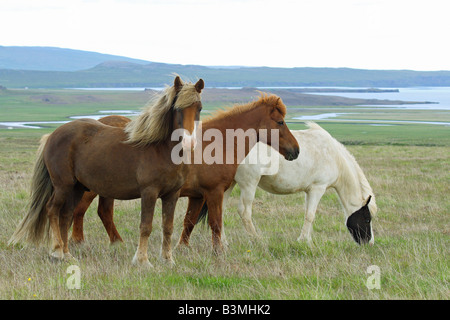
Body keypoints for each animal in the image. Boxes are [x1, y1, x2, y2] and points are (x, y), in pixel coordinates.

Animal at [7, 76, 205, 266]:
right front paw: (142, 261)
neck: (161, 149)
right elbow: (146, 226)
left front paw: (167, 260)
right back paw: (57, 252)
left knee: (65, 215)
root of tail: (52, 135)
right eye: (177, 108)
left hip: (76, 189)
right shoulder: (149, 193)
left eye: (199, 108)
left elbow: (168, 227)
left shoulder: (172, 194)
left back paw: (67, 255)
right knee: (52, 210)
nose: (189, 142)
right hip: (63, 186)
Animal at [221, 122, 376, 245]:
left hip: (230, 184)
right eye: (367, 219)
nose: (369, 242)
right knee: (244, 212)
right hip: (249, 184)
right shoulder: (317, 188)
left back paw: (224, 242)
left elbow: (308, 214)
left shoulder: (309, 190)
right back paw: (256, 239)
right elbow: (310, 215)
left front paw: (306, 239)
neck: (335, 157)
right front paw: (303, 241)